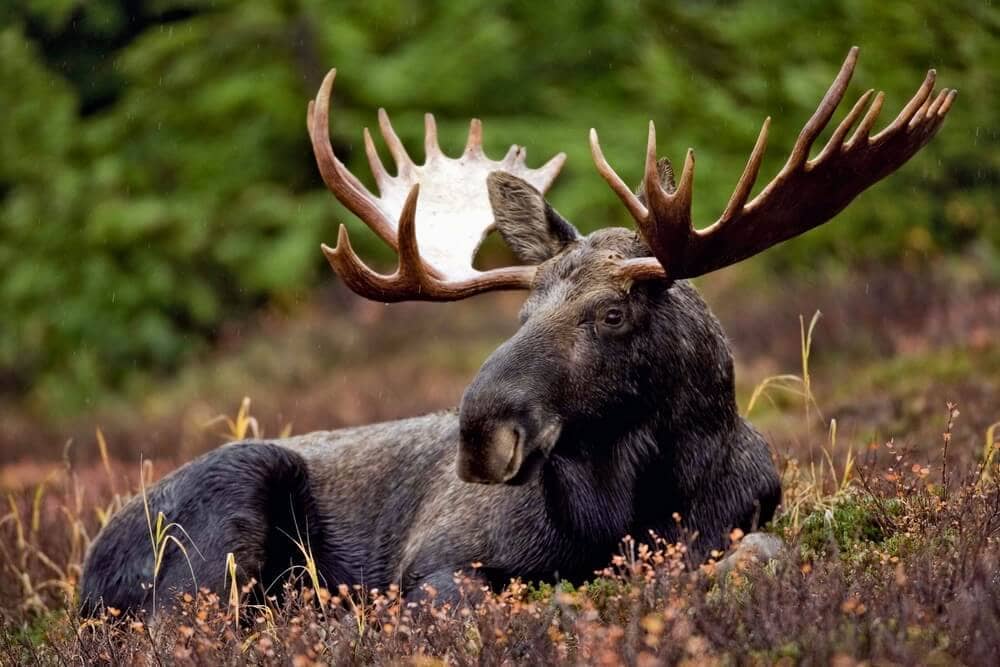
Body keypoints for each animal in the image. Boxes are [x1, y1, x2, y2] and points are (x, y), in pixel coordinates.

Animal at [80, 48, 954, 614]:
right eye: (522, 313)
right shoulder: (437, 562)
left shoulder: (742, 523)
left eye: (612, 312)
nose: (479, 432)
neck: (627, 509)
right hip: (220, 524)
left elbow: (760, 557)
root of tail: (88, 568)